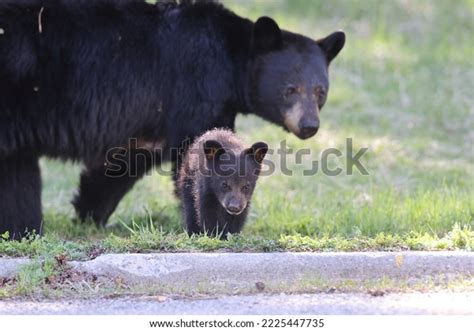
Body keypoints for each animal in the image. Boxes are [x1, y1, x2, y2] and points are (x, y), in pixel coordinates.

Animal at [0, 0, 344, 239]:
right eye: (291, 89)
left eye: (321, 91)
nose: (309, 126)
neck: (230, 60)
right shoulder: (195, 88)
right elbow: (195, 160)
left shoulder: (147, 124)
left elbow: (119, 167)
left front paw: (88, 216)